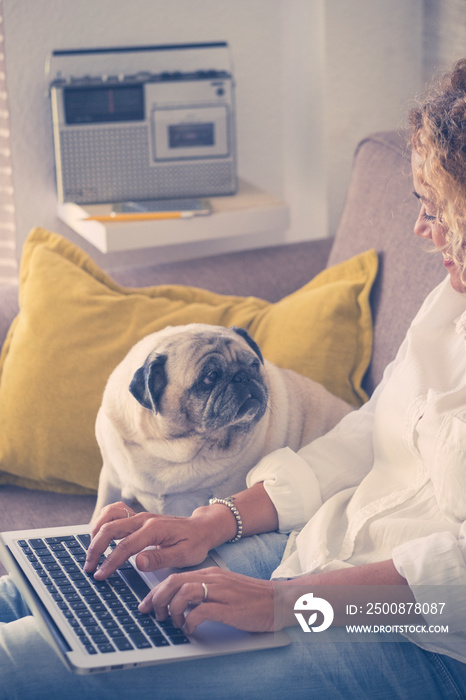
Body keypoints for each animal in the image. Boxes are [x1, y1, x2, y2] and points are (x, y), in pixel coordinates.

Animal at [92, 324, 354, 520]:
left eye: (254, 365)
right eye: (210, 377)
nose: (243, 377)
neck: (169, 448)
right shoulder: (111, 481)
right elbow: (100, 514)